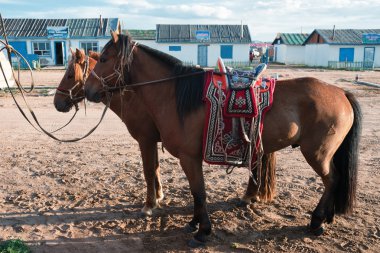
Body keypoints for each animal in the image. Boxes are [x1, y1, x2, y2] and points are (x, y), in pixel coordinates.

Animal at [52, 48, 163, 215]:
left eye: (70, 75)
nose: (56, 103)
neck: (136, 99)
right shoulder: (152, 141)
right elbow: (155, 167)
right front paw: (158, 195)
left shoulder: (146, 141)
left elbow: (149, 170)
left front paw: (150, 204)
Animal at [84, 32, 360, 247]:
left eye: (104, 59)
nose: (88, 90)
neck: (176, 96)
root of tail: (341, 92)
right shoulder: (185, 157)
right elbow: (195, 193)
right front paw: (194, 223)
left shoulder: (188, 157)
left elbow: (199, 192)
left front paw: (203, 231)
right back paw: (327, 217)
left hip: (317, 153)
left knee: (332, 180)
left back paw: (317, 221)